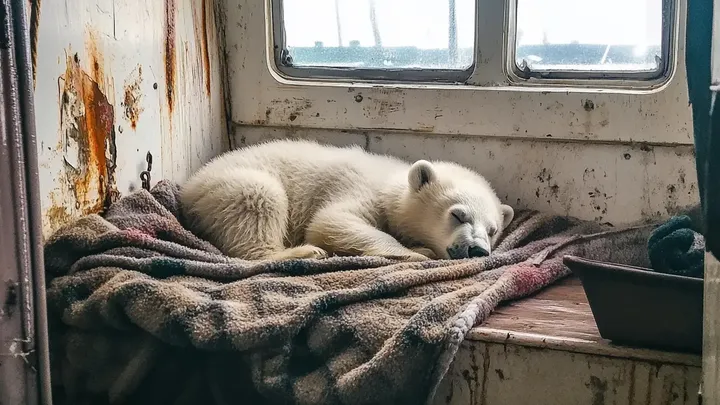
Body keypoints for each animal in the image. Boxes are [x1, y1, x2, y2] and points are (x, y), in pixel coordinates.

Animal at [179, 139, 514, 262]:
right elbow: (333, 221)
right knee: (259, 198)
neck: (390, 183)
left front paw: (419, 246)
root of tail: (189, 188)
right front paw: (418, 253)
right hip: (231, 186)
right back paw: (303, 252)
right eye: (458, 215)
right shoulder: (359, 188)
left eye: (493, 230)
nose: (477, 250)